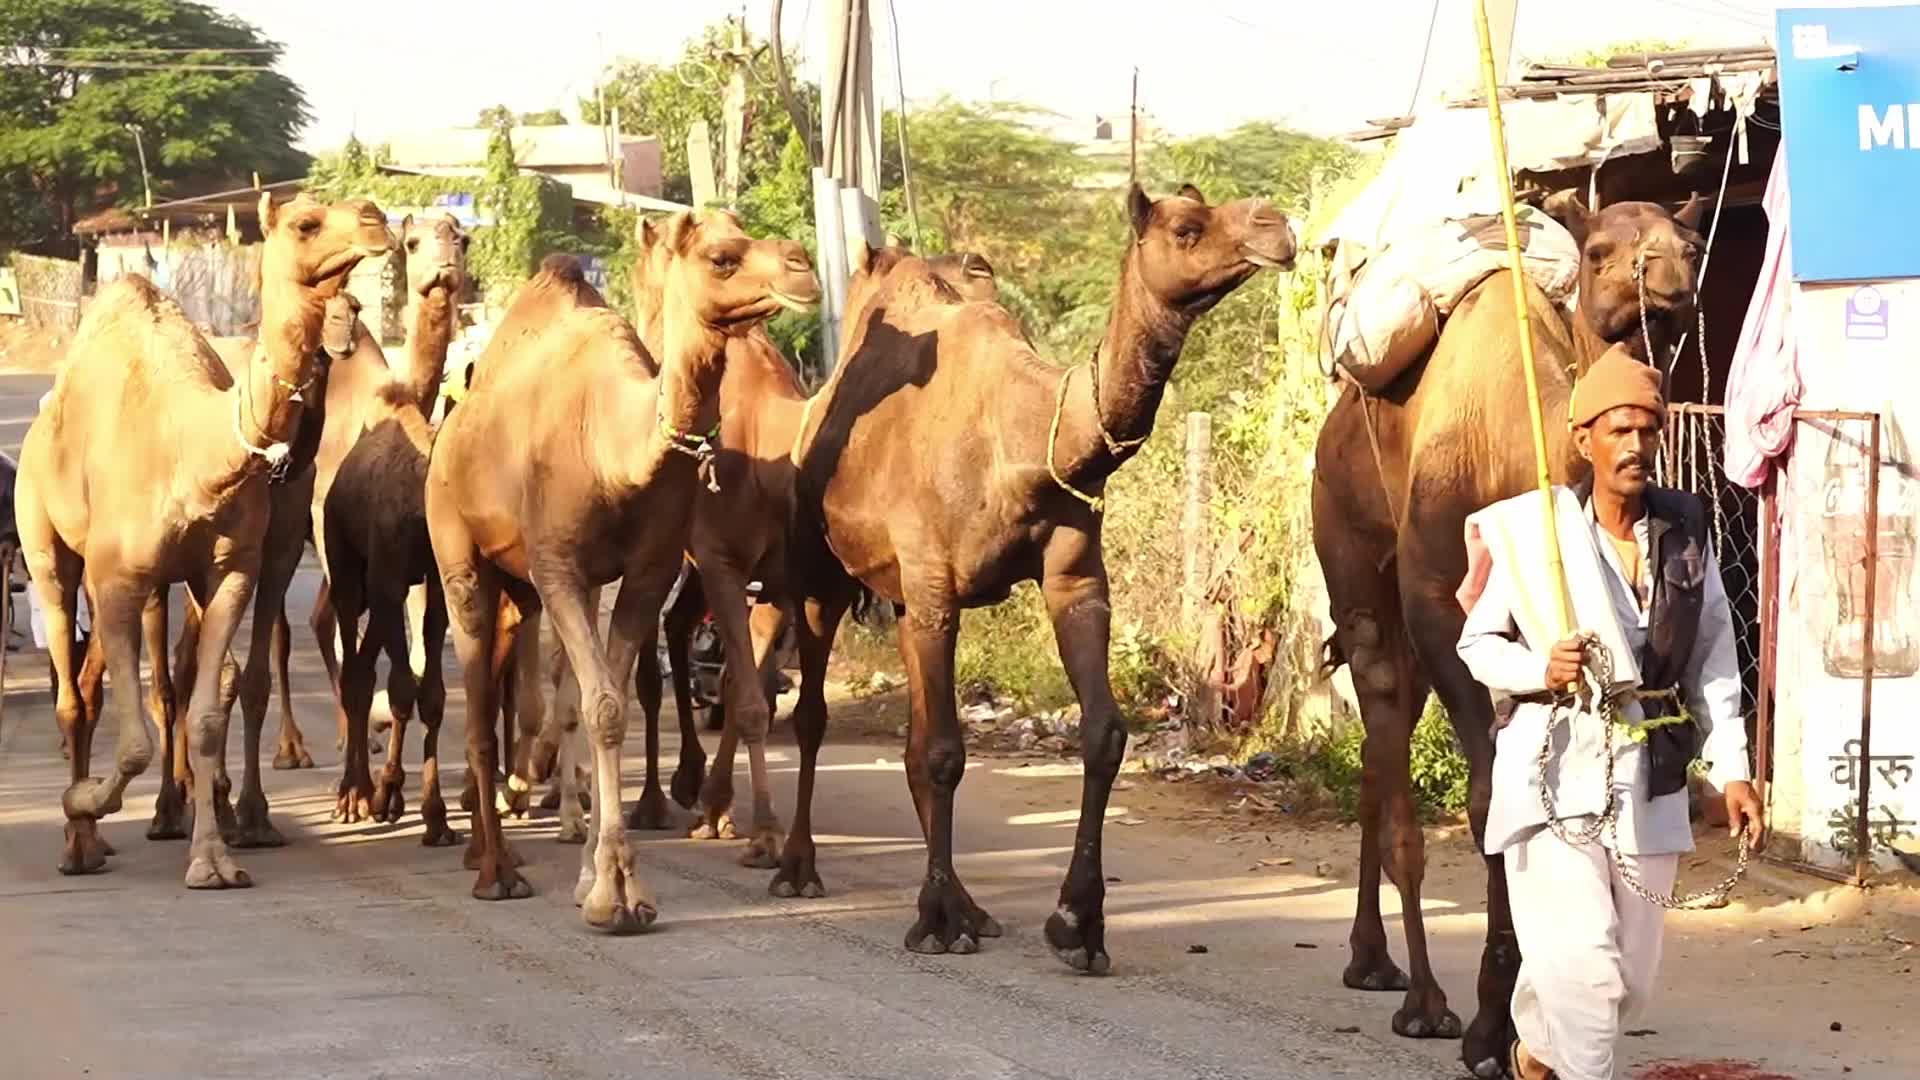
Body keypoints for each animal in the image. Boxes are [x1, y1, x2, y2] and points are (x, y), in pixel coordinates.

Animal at [16, 192, 390, 885]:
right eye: (305, 222)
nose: (377, 218)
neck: (194, 450)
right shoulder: (118, 579)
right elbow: (135, 740)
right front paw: (87, 801)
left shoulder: (231, 568)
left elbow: (212, 712)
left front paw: (214, 857)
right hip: (46, 546)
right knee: (73, 693)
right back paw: (80, 842)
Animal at [425, 212, 819, 923]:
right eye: (722, 257)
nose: (802, 266)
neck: (613, 446)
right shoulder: (559, 566)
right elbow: (603, 705)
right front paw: (617, 890)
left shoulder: (647, 572)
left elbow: (611, 705)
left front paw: (598, 875)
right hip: (458, 550)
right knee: (478, 708)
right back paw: (493, 865)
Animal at [782, 183, 1295, 965]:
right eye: (1185, 226)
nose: (1278, 226)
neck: (1024, 439)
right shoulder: (935, 584)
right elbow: (944, 752)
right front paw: (937, 922)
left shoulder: (1073, 578)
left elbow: (1102, 733)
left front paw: (1078, 921)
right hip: (824, 567)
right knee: (811, 712)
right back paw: (798, 867)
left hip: (900, 601)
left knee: (906, 735)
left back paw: (971, 903)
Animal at [1311, 192, 1705, 1077]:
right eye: (1599, 250)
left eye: (1689, 237)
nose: (1670, 272)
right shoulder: (1436, 600)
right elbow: (1492, 795)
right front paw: (1489, 1026)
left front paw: (1520, 1019)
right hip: (1352, 559)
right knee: (1383, 720)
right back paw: (1419, 997)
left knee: (1378, 747)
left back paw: (1370, 960)